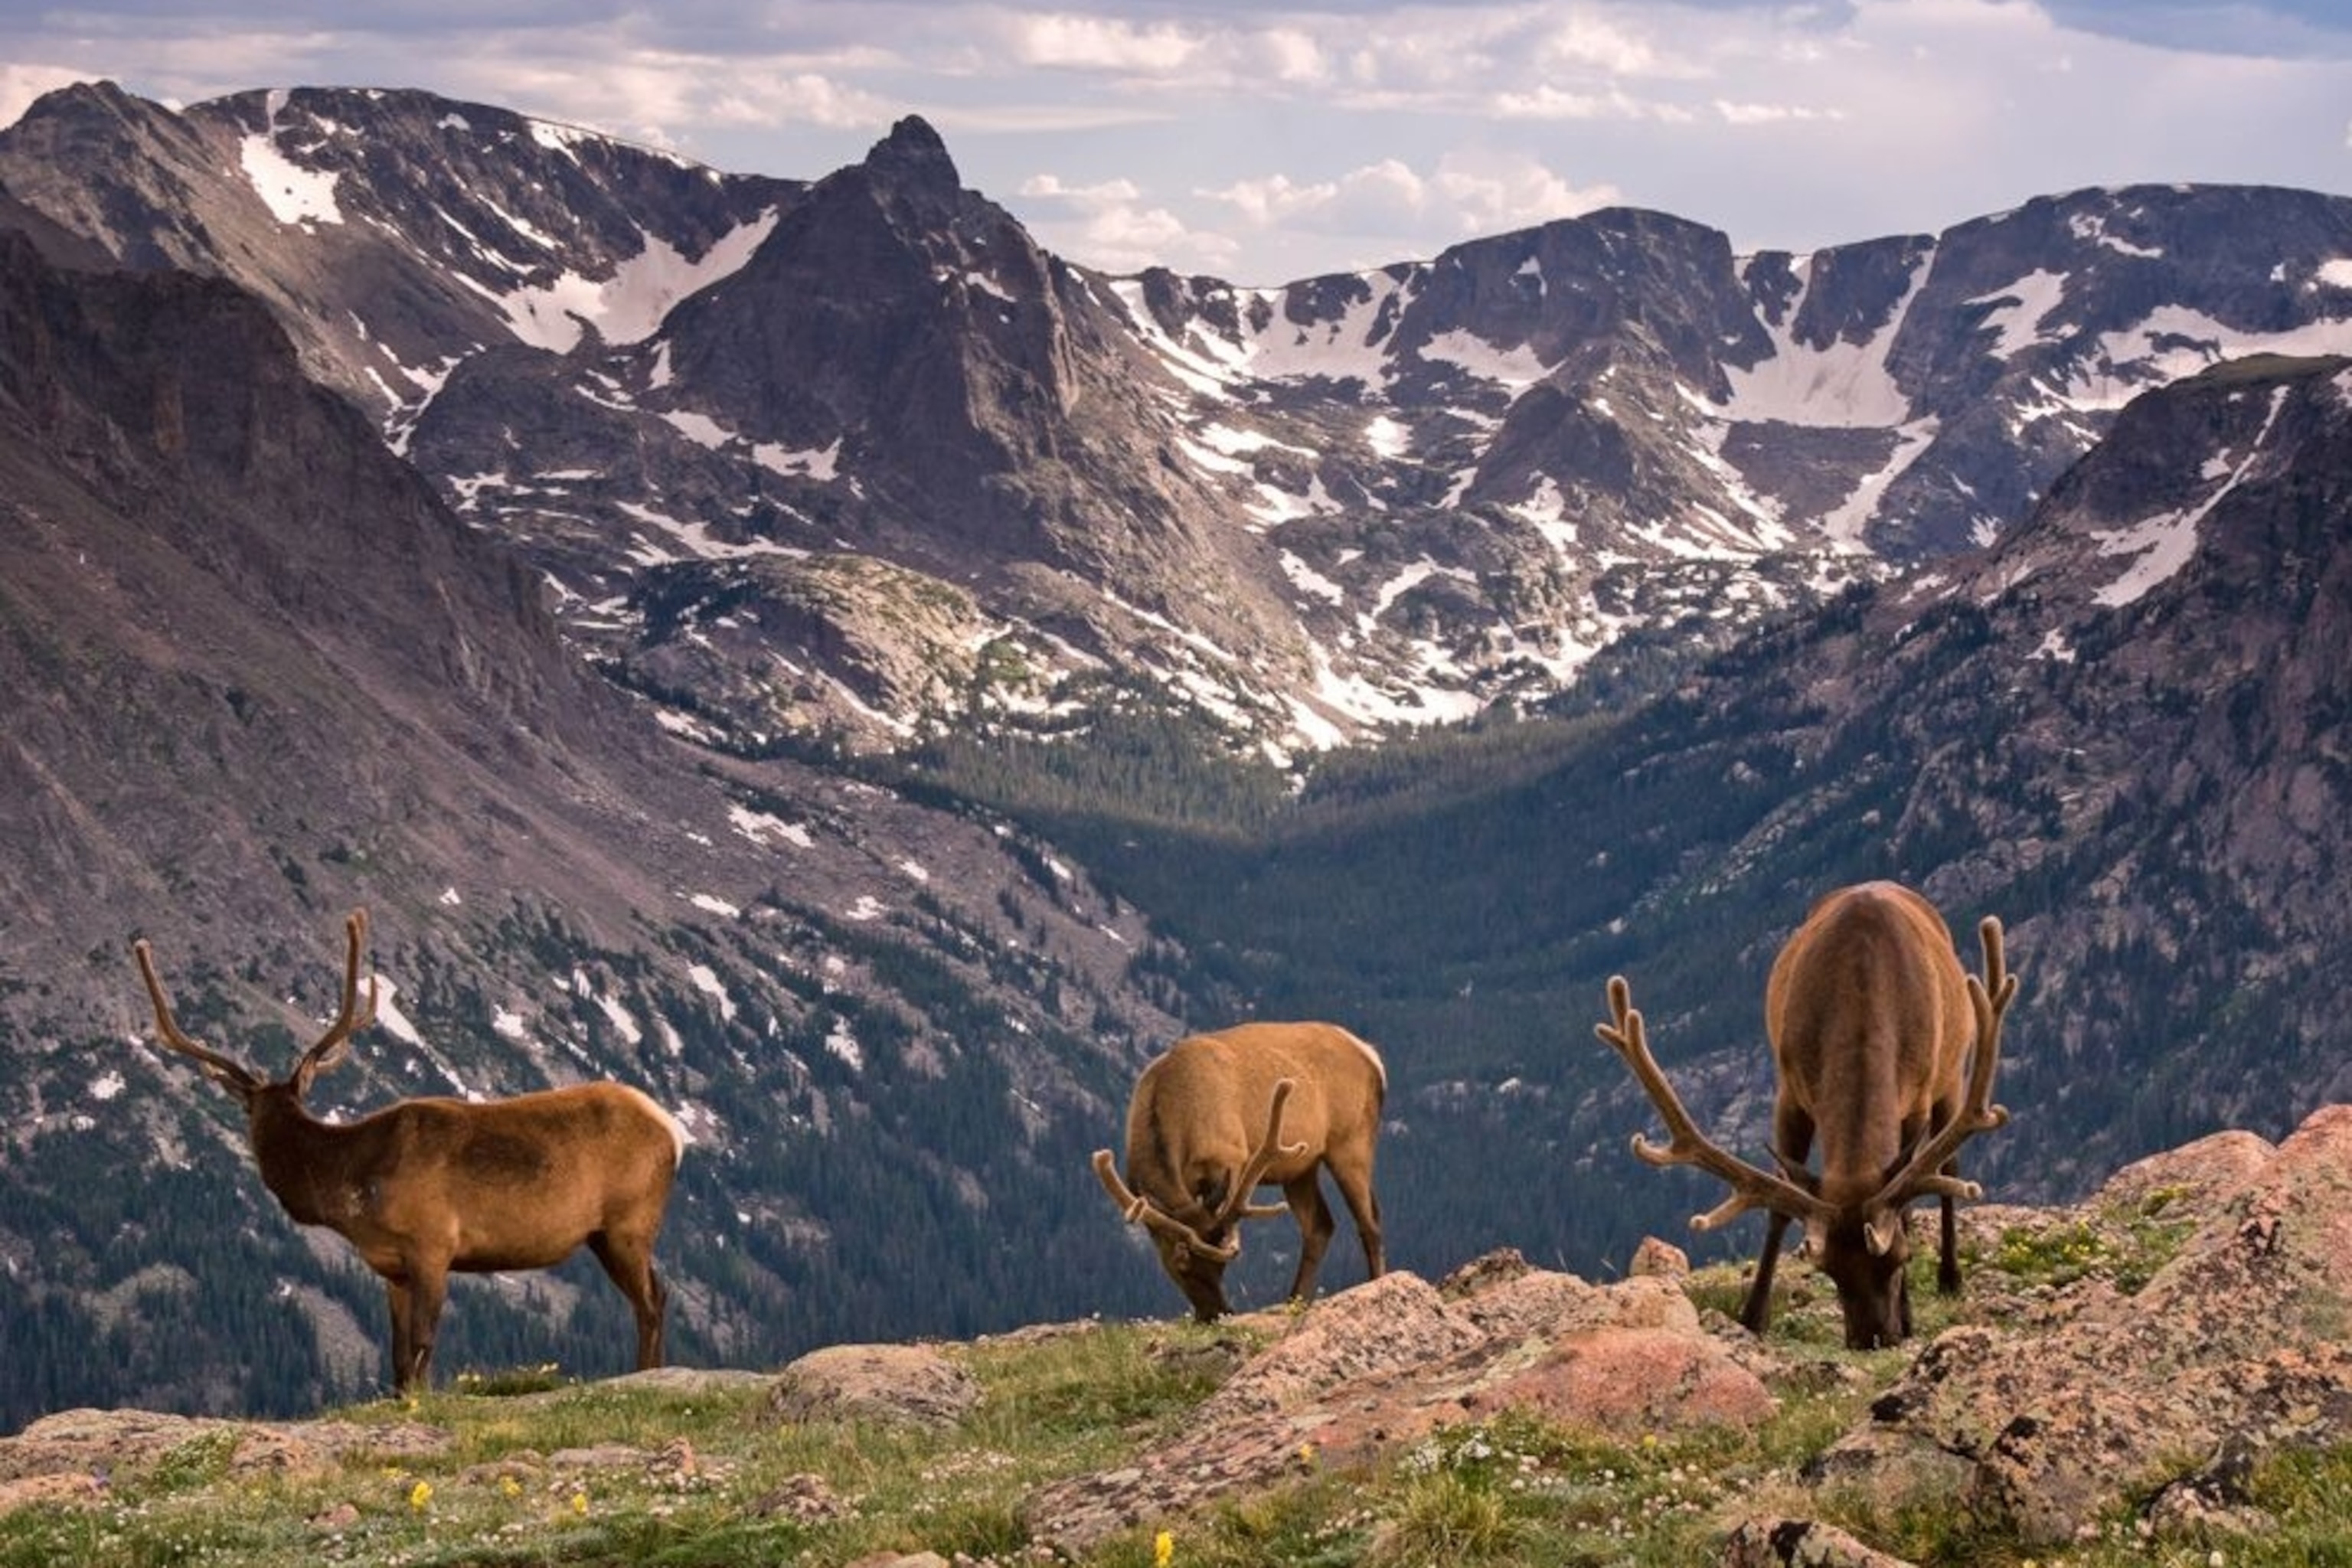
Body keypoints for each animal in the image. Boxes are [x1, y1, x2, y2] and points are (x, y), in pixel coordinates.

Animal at [129, 912, 687, 1391]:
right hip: (604, 1234)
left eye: (252, 1113)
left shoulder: (433, 1243)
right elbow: (397, 1358)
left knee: (652, 1299)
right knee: (656, 1295)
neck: (353, 1187)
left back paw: (648, 1377)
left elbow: (422, 1346)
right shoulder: (391, 1266)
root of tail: (671, 1130)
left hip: (629, 1221)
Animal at [1091, 1024, 1383, 1316]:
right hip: (1300, 1167)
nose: (1219, 1312)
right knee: (1320, 1225)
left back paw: (1376, 1284)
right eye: (1180, 1268)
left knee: (1370, 1223)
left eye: (1221, 1267)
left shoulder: (1232, 1157)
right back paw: (1294, 1301)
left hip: (1351, 1142)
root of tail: (1370, 1055)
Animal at [1599, 884, 2022, 1354]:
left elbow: (1907, 1207)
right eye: (1828, 1269)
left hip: (1952, 1073)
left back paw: (1950, 1276)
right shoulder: (1791, 1090)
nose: (1874, 1338)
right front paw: (1752, 1315)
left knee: (1949, 1168)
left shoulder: (1917, 1095)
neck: (1863, 994)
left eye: (1902, 1258)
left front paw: (1911, 1314)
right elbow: (1780, 1204)